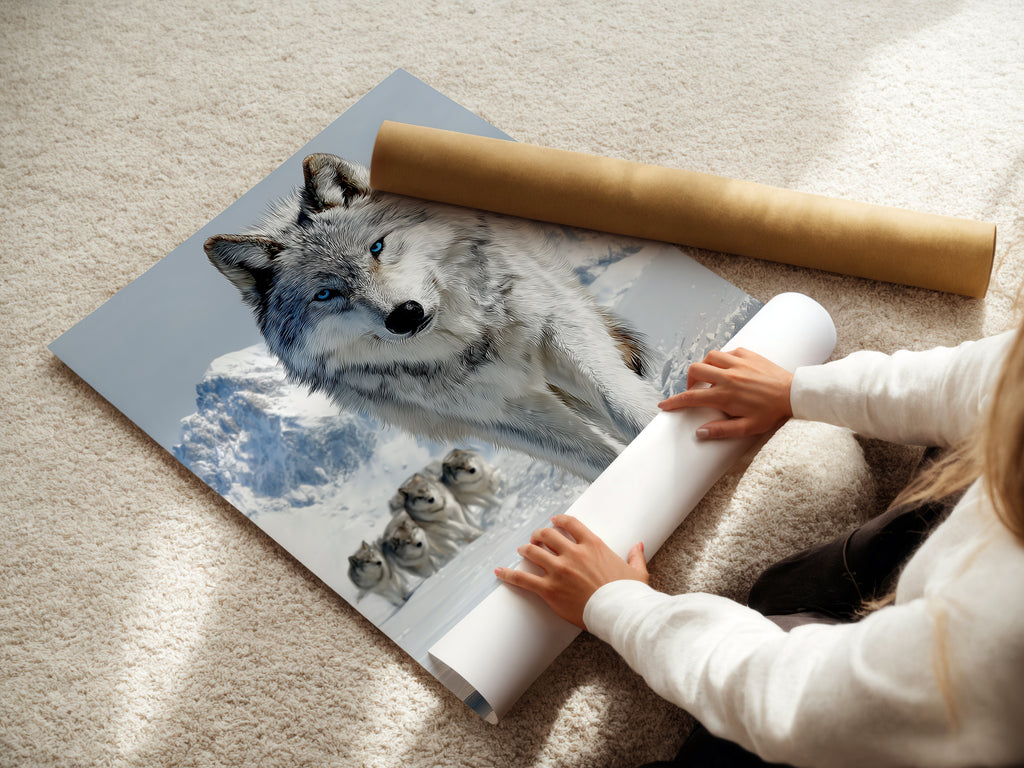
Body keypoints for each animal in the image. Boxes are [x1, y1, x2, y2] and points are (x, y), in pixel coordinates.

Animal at [205, 153, 660, 480]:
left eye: (377, 248)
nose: (404, 316)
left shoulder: (562, 331)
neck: (472, 344)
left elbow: (623, 405)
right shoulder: (504, 415)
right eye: (326, 294)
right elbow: (599, 459)